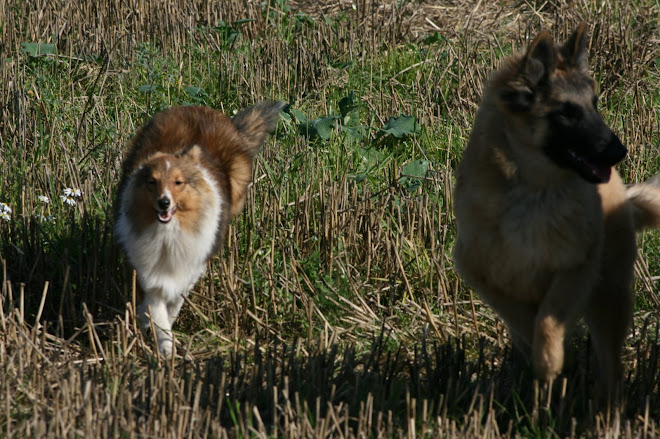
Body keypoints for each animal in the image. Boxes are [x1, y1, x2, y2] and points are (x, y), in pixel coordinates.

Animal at [454, 23, 660, 396]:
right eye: (566, 112)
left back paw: (606, 405)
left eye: (595, 105)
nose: (620, 151)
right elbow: (522, 318)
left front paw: (550, 359)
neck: (534, 191)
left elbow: (548, 319)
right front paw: (555, 359)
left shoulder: (575, 267)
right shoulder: (480, 271)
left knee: (611, 365)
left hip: (609, 296)